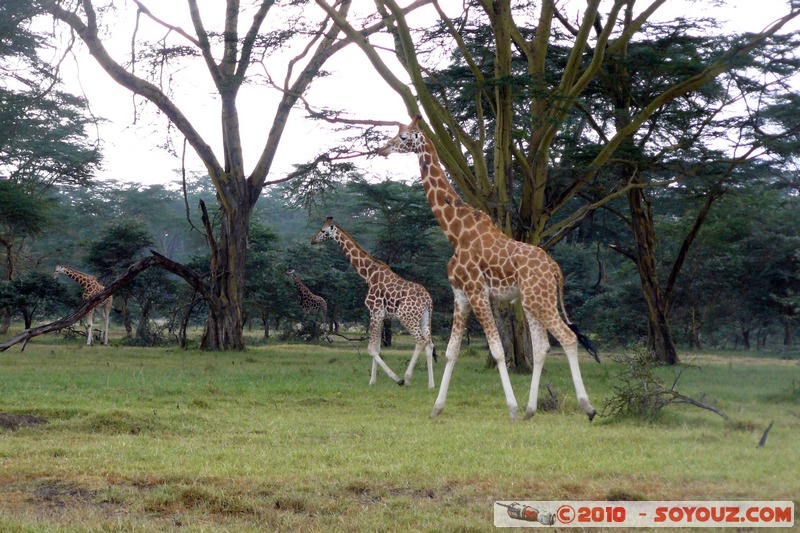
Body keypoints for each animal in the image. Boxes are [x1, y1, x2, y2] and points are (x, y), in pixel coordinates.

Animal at [312, 218, 438, 388]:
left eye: (323, 231)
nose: (313, 240)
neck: (368, 274)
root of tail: (428, 300)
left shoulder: (375, 310)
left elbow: (371, 348)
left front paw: (395, 379)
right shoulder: (382, 315)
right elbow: (377, 348)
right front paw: (372, 381)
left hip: (406, 317)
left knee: (420, 341)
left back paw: (406, 378)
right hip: (424, 318)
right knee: (429, 344)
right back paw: (431, 385)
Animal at [378, 116, 596, 420]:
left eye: (405, 137)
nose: (382, 149)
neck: (455, 233)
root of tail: (555, 268)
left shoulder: (477, 291)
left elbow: (497, 350)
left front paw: (512, 408)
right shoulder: (460, 295)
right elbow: (452, 351)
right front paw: (437, 408)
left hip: (539, 300)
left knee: (568, 337)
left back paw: (587, 407)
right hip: (532, 301)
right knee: (542, 347)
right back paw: (531, 410)